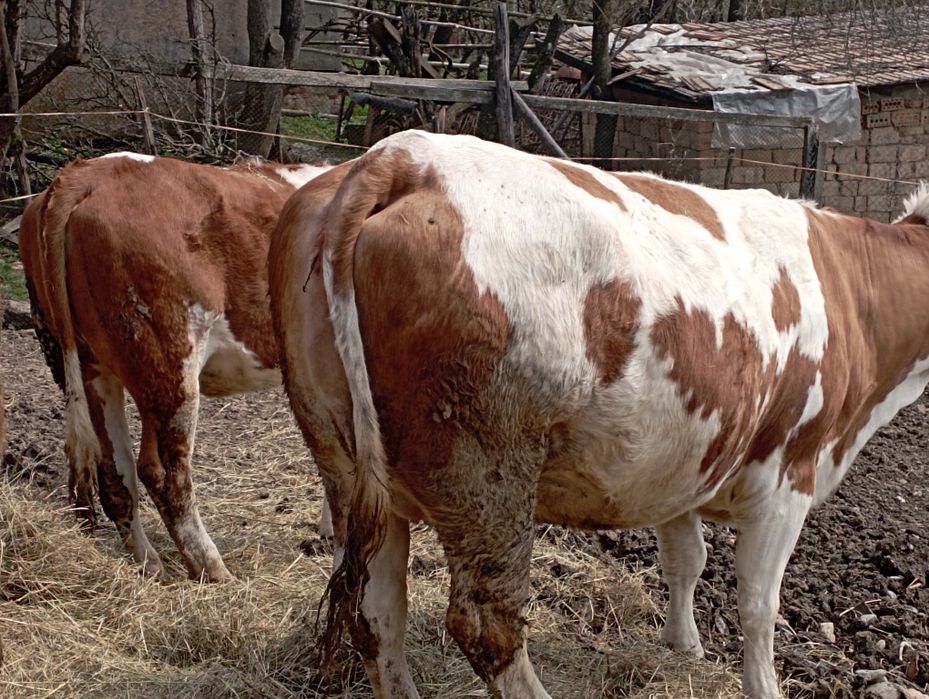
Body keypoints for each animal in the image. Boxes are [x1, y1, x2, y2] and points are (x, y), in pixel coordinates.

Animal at [20, 152, 331, 582]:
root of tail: (89, 172)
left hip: (86, 364)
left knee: (114, 470)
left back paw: (149, 564)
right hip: (170, 362)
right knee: (164, 473)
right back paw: (213, 570)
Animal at [268, 128, 929, 699]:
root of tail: (404, 156)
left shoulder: (683, 463)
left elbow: (686, 560)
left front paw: (682, 645)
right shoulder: (789, 474)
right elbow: (758, 604)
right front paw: (760, 685)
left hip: (349, 467)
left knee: (376, 614)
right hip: (486, 474)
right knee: (486, 626)